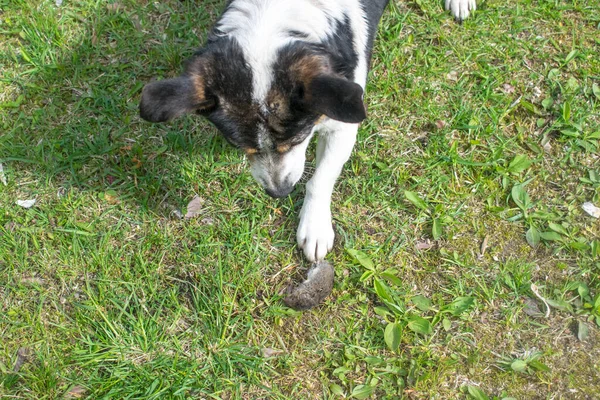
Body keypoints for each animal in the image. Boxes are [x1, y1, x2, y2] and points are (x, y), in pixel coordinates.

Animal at [138, 0, 476, 262]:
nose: (279, 193)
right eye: (243, 148)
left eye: (297, 140)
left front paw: (314, 227)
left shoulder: (343, 123)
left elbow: (320, 179)